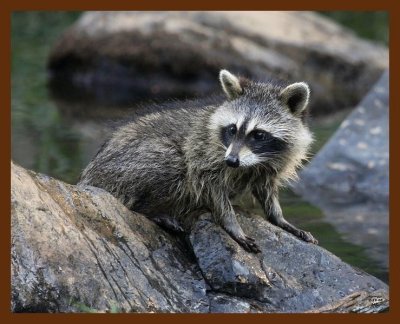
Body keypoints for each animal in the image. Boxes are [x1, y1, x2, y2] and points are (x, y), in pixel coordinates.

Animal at [79, 69, 318, 253]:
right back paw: (153, 211)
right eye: (233, 129)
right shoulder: (204, 154)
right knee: (173, 162)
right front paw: (232, 224)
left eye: (258, 134)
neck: (252, 162)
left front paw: (279, 218)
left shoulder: (269, 165)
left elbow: (267, 189)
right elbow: (211, 186)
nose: (231, 161)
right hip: (124, 166)